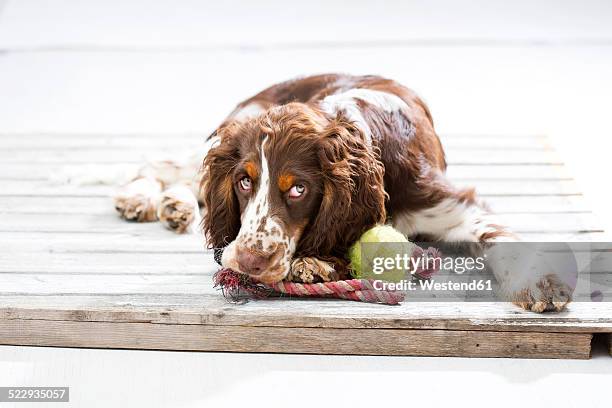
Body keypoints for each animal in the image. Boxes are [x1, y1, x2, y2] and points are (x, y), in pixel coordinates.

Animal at [113, 74, 572, 312]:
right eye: (244, 182)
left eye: (298, 189)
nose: (248, 262)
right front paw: (317, 264)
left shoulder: (451, 205)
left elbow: (498, 237)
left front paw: (538, 283)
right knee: (166, 166)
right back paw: (145, 198)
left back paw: (173, 205)